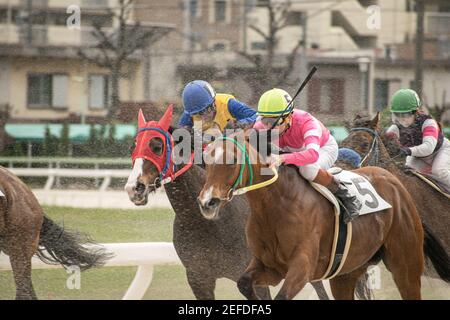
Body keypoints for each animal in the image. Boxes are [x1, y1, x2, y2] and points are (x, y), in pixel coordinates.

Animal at [197, 130, 442, 300]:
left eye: (232, 161)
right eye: (206, 159)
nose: (207, 202)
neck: (276, 204)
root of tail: (394, 180)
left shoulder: (302, 267)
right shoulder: (269, 266)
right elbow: (244, 283)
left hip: (406, 265)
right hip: (347, 273)